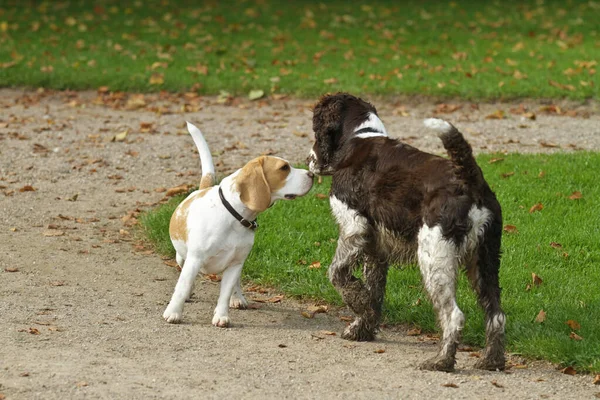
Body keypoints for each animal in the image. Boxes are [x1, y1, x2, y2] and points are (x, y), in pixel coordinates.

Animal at [164, 122, 314, 328]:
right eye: (284, 168)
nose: (312, 174)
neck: (234, 217)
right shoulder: (194, 260)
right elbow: (182, 286)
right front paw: (174, 312)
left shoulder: (235, 263)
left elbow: (225, 293)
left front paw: (221, 316)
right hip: (182, 257)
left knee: (234, 285)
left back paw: (237, 298)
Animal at [308, 93, 504, 372]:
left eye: (316, 127)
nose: (308, 161)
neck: (359, 136)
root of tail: (471, 181)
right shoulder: (375, 249)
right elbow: (374, 291)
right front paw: (362, 328)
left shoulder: (353, 227)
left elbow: (337, 274)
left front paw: (358, 304)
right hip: (485, 258)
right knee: (496, 314)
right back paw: (492, 360)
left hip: (434, 258)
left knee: (454, 316)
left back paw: (441, 361)